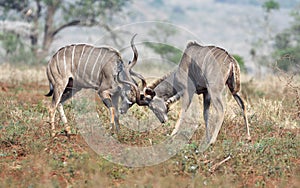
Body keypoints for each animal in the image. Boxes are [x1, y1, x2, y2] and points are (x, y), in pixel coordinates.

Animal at [122, 41, 251, 144]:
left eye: (152, 106)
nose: (163, 121)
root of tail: (231, 60)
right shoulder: (205, 93)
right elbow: (205, 114)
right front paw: (207, 138)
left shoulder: (188, 91)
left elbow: (183, 112)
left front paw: (172, 135)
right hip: (233, 90)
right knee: (242, 105)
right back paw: (248, 137)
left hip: (215, 91)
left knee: (221, 110)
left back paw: (213, 142)